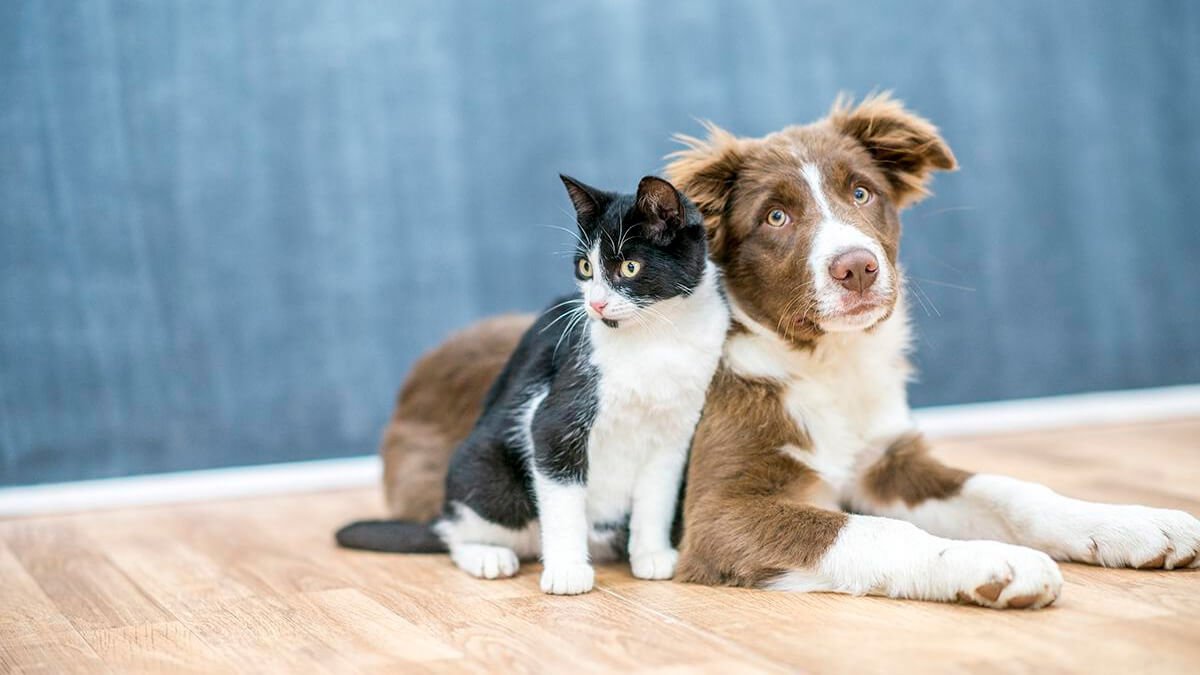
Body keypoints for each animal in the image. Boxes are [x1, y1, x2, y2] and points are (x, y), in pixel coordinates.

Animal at [338, 174, 729, 593]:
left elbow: (657, 496)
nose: (596, 305)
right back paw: (487, 555)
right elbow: (562, 498)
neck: (655, 338)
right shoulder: (553, 419)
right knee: (455, 532)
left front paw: (652, 555)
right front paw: (567, 571)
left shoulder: (675, 433)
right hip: (487, 474)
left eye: (629, 266)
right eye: (586, 267)